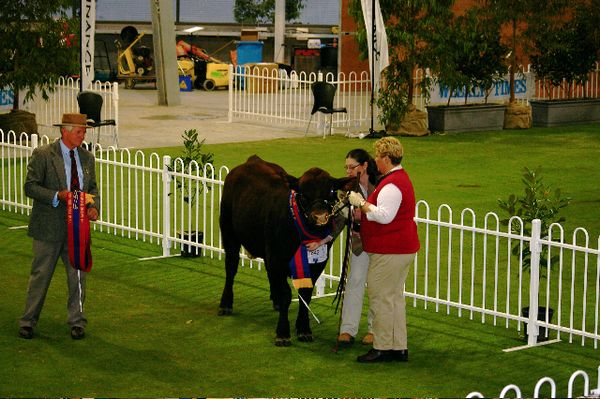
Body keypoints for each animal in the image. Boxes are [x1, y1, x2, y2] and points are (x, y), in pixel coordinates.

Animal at [219, 155, 352, 346]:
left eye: (331, 192)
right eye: (303, 194)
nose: (320, 217)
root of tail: (252, 161)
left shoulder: (317, 264)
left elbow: (305, 294)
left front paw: (304, 329)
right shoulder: (277, 259)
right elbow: (286, 295)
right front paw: (282, 332)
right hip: (229, 231)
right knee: (231, 266)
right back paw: (225, 304)